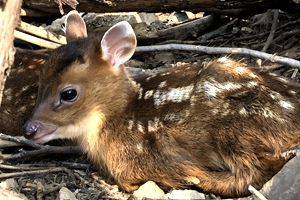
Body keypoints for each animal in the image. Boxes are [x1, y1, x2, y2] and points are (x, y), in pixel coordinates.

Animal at [22, 10, 300, 197]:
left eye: (68, 94)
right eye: (40, 77)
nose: (29, 129)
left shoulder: (145, 159)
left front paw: (190, 177)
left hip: (234, 129)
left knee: (251, 175)